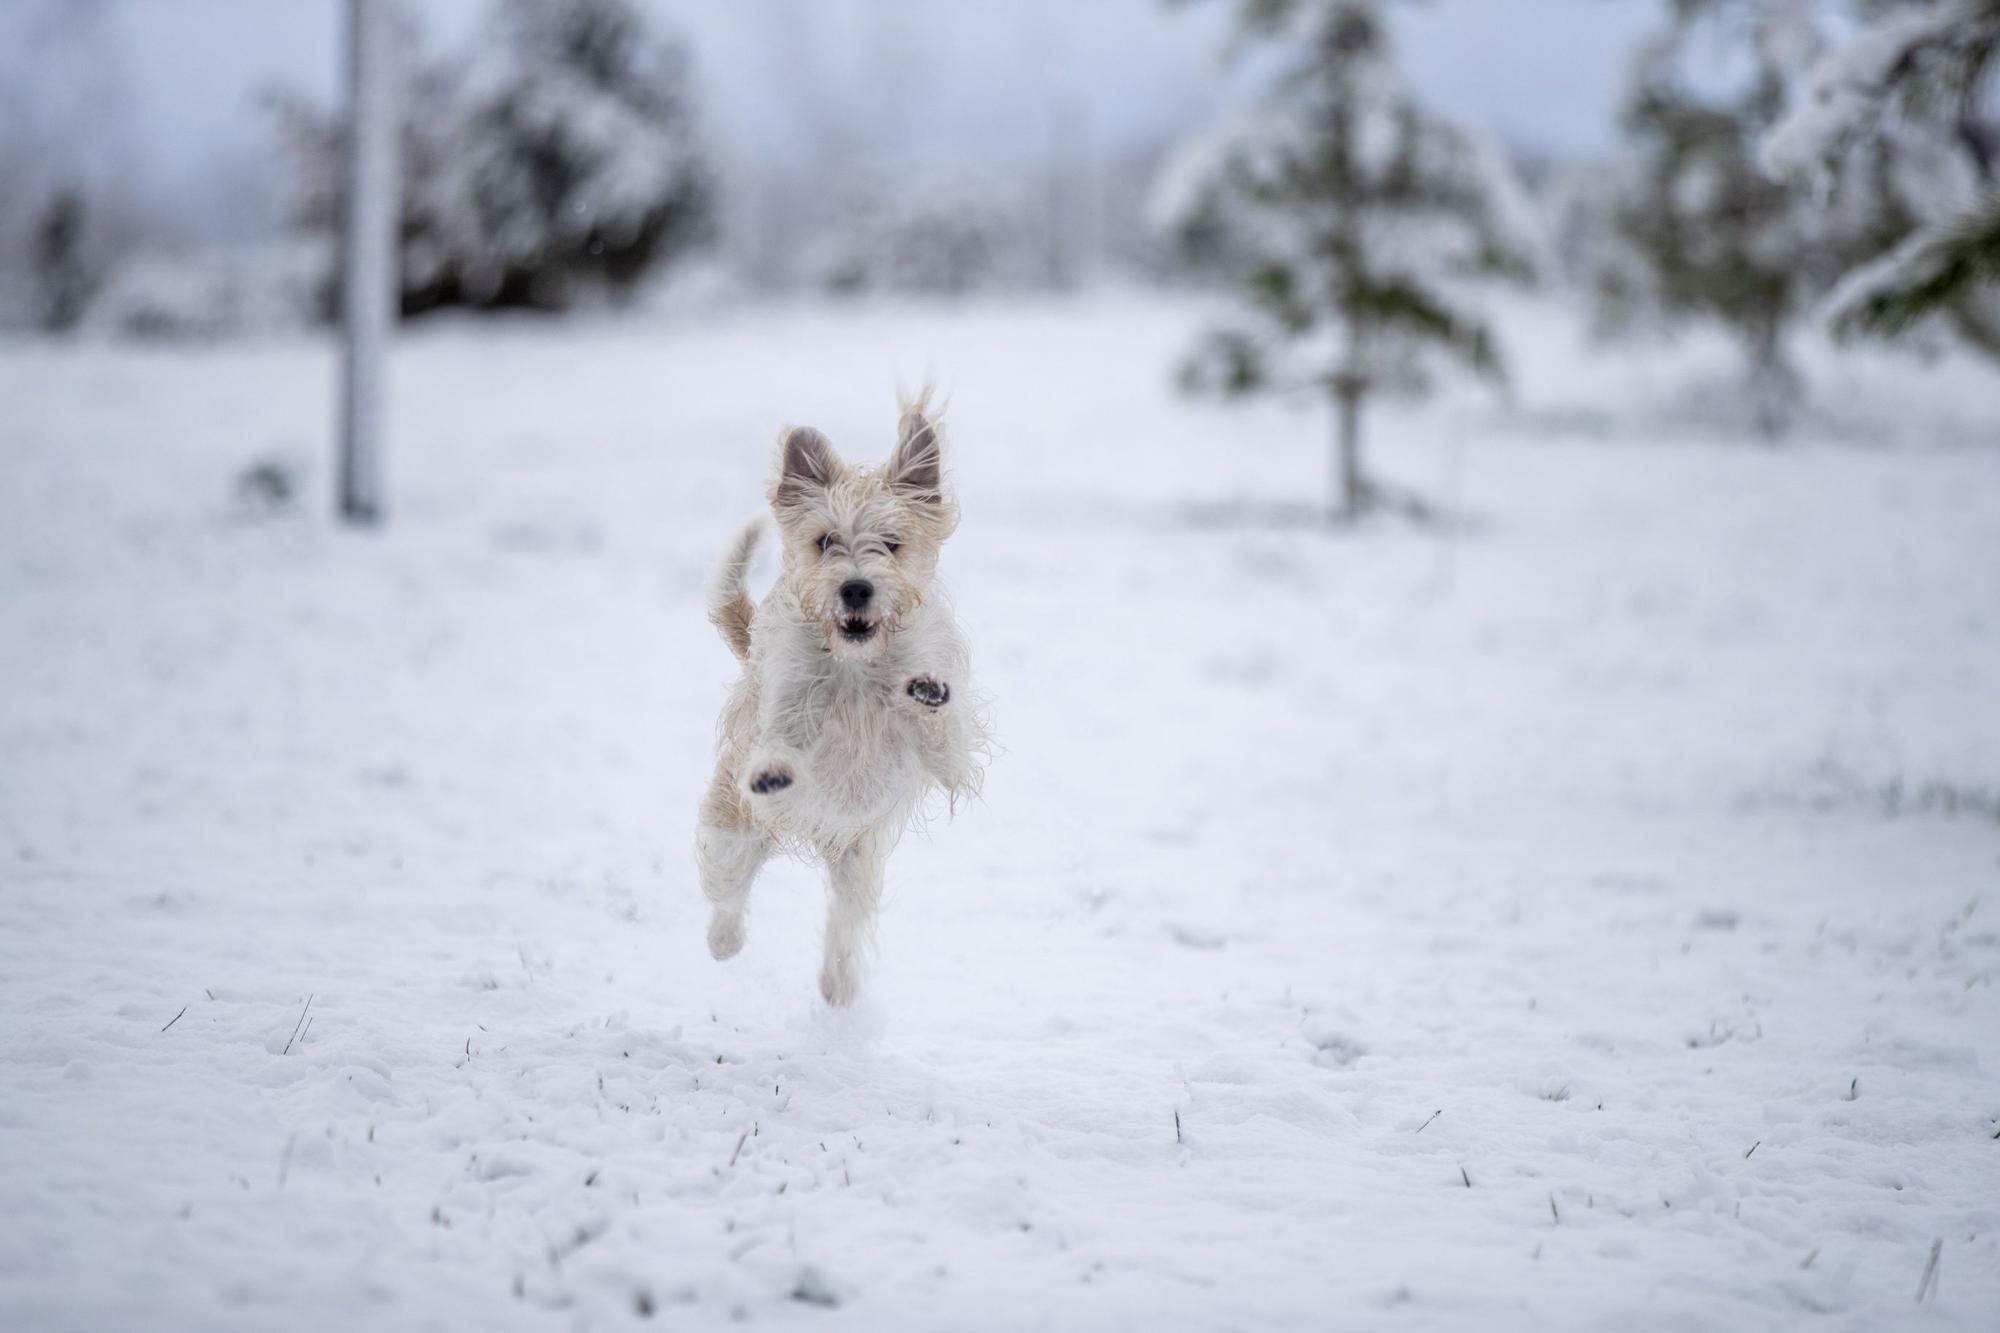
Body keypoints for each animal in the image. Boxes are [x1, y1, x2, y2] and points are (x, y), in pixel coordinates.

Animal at [700, 400, 988, 1000]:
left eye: (892, 543)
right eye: (826, 541)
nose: (855, 588)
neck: (856, 666)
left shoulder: (950, 761)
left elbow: (945, 735)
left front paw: (926, 691)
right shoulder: (783, 704)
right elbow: (780, 740)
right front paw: (775, 769)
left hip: (857, 861)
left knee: (844, 924)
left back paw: (839, 985)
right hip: (735, 828)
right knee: (727, 893)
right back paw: (724, 941)